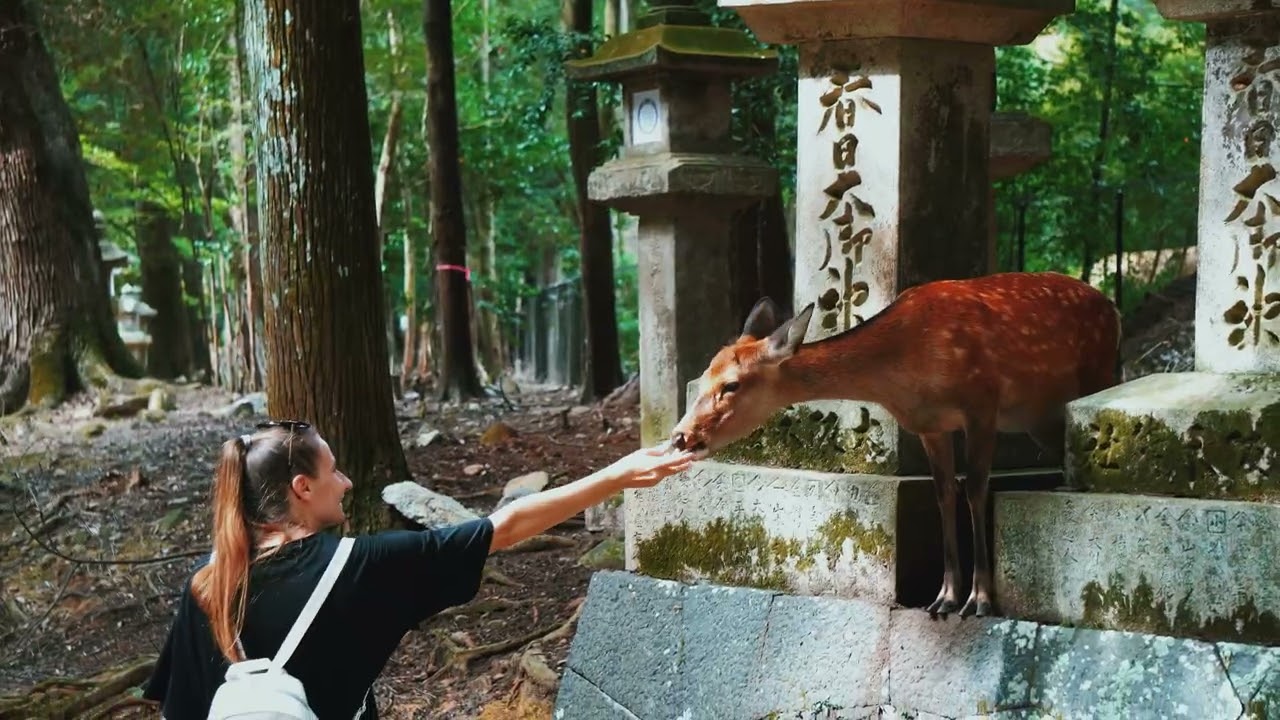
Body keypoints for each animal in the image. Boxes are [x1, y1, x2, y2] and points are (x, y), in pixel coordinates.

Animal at [669, 271, 1121, 619]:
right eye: (704, 376)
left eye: (731, 385)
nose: (680, 435)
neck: (904, 367)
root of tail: (1113, 308)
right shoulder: (929, 425)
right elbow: (944, 494)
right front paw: (944, 597)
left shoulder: (982, 405)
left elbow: (976, 491)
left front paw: (980, 599)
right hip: (1039, 417)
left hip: (1096, 378)